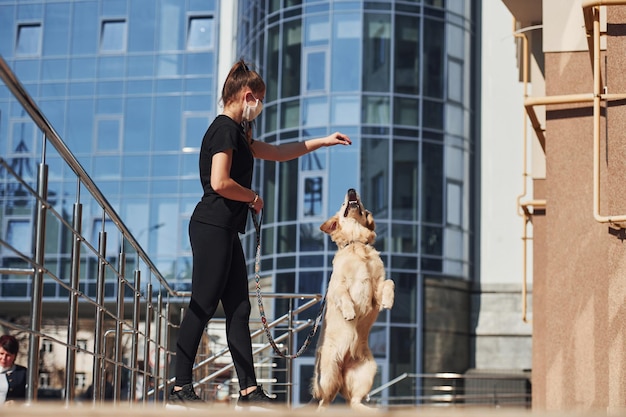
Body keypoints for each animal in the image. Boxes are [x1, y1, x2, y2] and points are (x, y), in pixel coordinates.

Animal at [310, 188, 392, 410]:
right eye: (342, 204)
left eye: (362, 204)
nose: (351, 190)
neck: (356, 244)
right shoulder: (337, 284)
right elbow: (344, 295)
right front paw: (349, 312)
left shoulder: (376, 285)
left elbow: (389, 283)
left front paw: (389, 301)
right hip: (328, 373)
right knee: (324, 400)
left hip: (367, 371)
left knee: (353, 401)